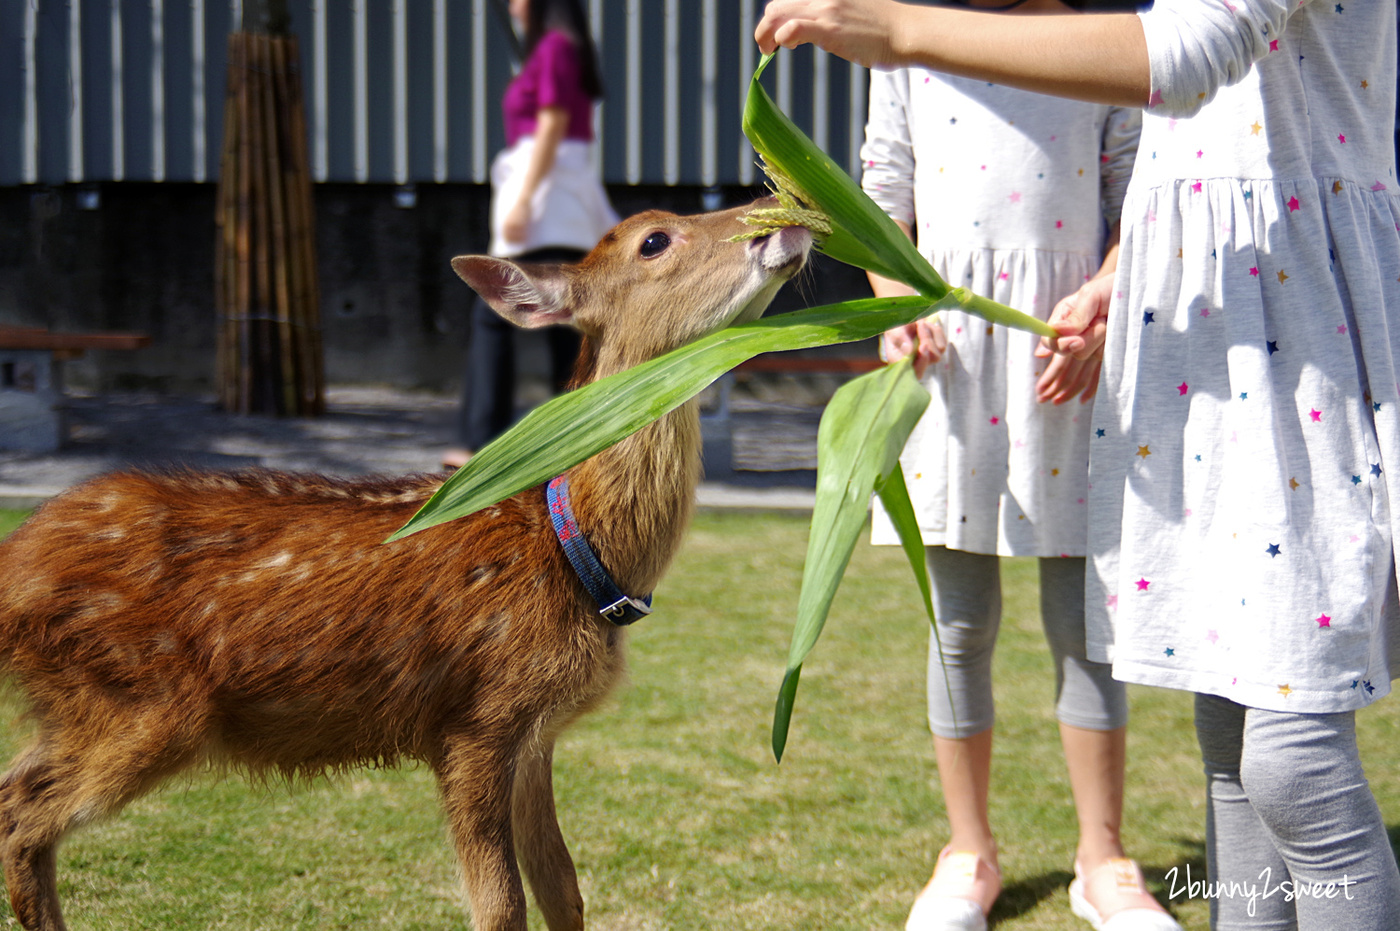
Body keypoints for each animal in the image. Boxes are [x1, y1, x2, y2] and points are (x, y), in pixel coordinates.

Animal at [0, 203, 812, 929]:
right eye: (654, 239)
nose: (787, 213)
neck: (573, 554)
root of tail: (15, 564)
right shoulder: (472, 721)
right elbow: (501, 905)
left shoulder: (536, 731)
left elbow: (564, 889)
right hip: (134, 697)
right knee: (20, 813)